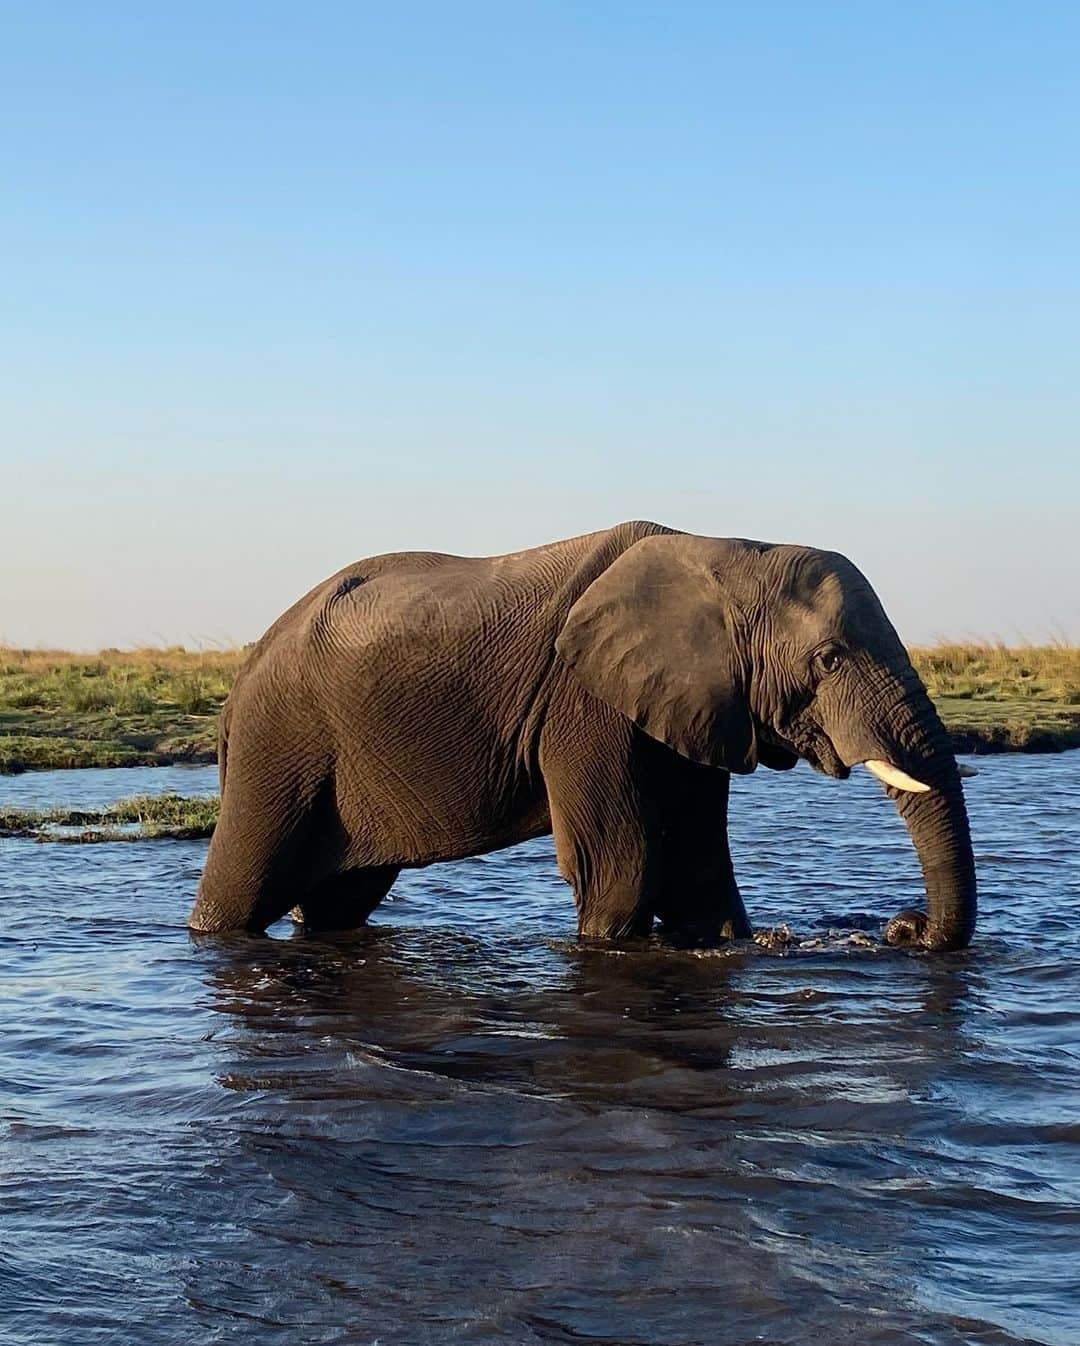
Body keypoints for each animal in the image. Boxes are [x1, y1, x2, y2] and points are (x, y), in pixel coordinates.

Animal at [187, 519, 974, 952]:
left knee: (336, 903)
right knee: (241, 889)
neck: (724, 550)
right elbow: (623, 866)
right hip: (278, 742)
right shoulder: (581, 701)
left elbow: (697, 868)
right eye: (829, 659)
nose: (904, 928)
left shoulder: (694, 703)